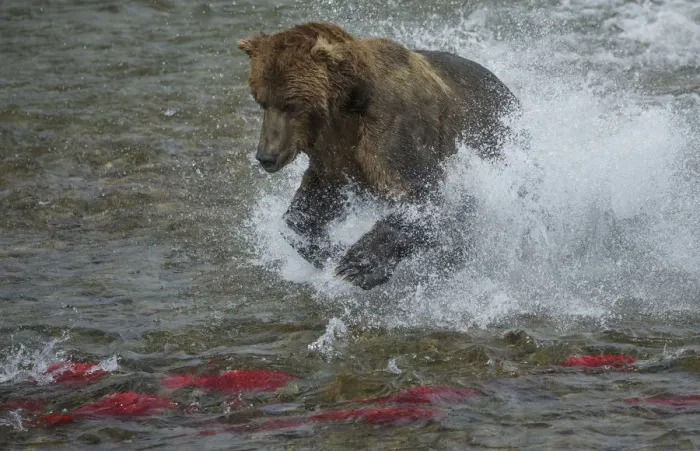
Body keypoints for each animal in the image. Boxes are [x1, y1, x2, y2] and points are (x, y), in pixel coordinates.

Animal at [238, 22, 519, 290]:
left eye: (291, 104)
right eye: (261, 100)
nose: (266, 156)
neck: (345, 105)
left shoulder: (388, 128)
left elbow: (421, 193)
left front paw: (355, 266)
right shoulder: (332, 151)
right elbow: (308, 207)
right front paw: (325, 250)